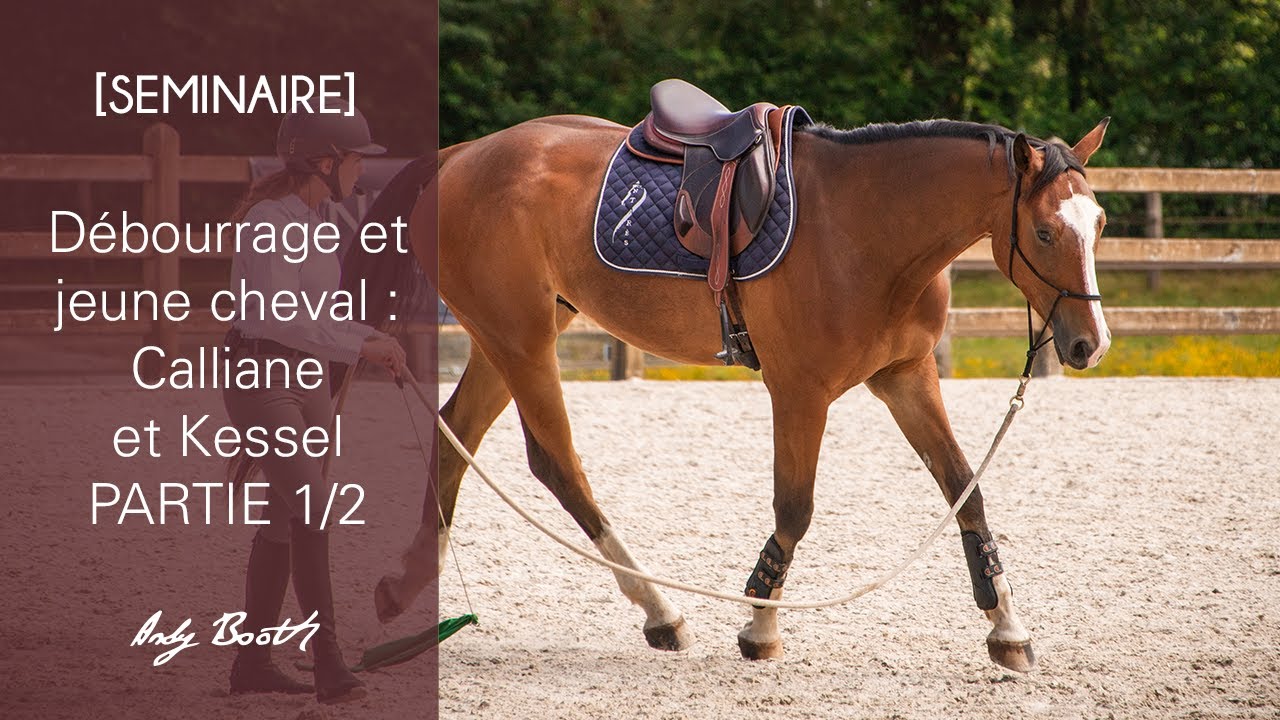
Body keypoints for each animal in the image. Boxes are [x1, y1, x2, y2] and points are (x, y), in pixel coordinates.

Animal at [347, 106, 1112, 672]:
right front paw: (760, 628)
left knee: (457, 435)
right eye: (1046, 231)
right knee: (555, 464)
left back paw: (408, 594)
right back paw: (661, 611)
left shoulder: (907, 378)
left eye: (1099, 223)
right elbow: (795, 509)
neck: (865, 227)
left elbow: (965, 491)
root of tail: (462, 154)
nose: (1089, 343)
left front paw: (1007, 629)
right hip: (522, 342)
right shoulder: (800, 391)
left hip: (505, 337)